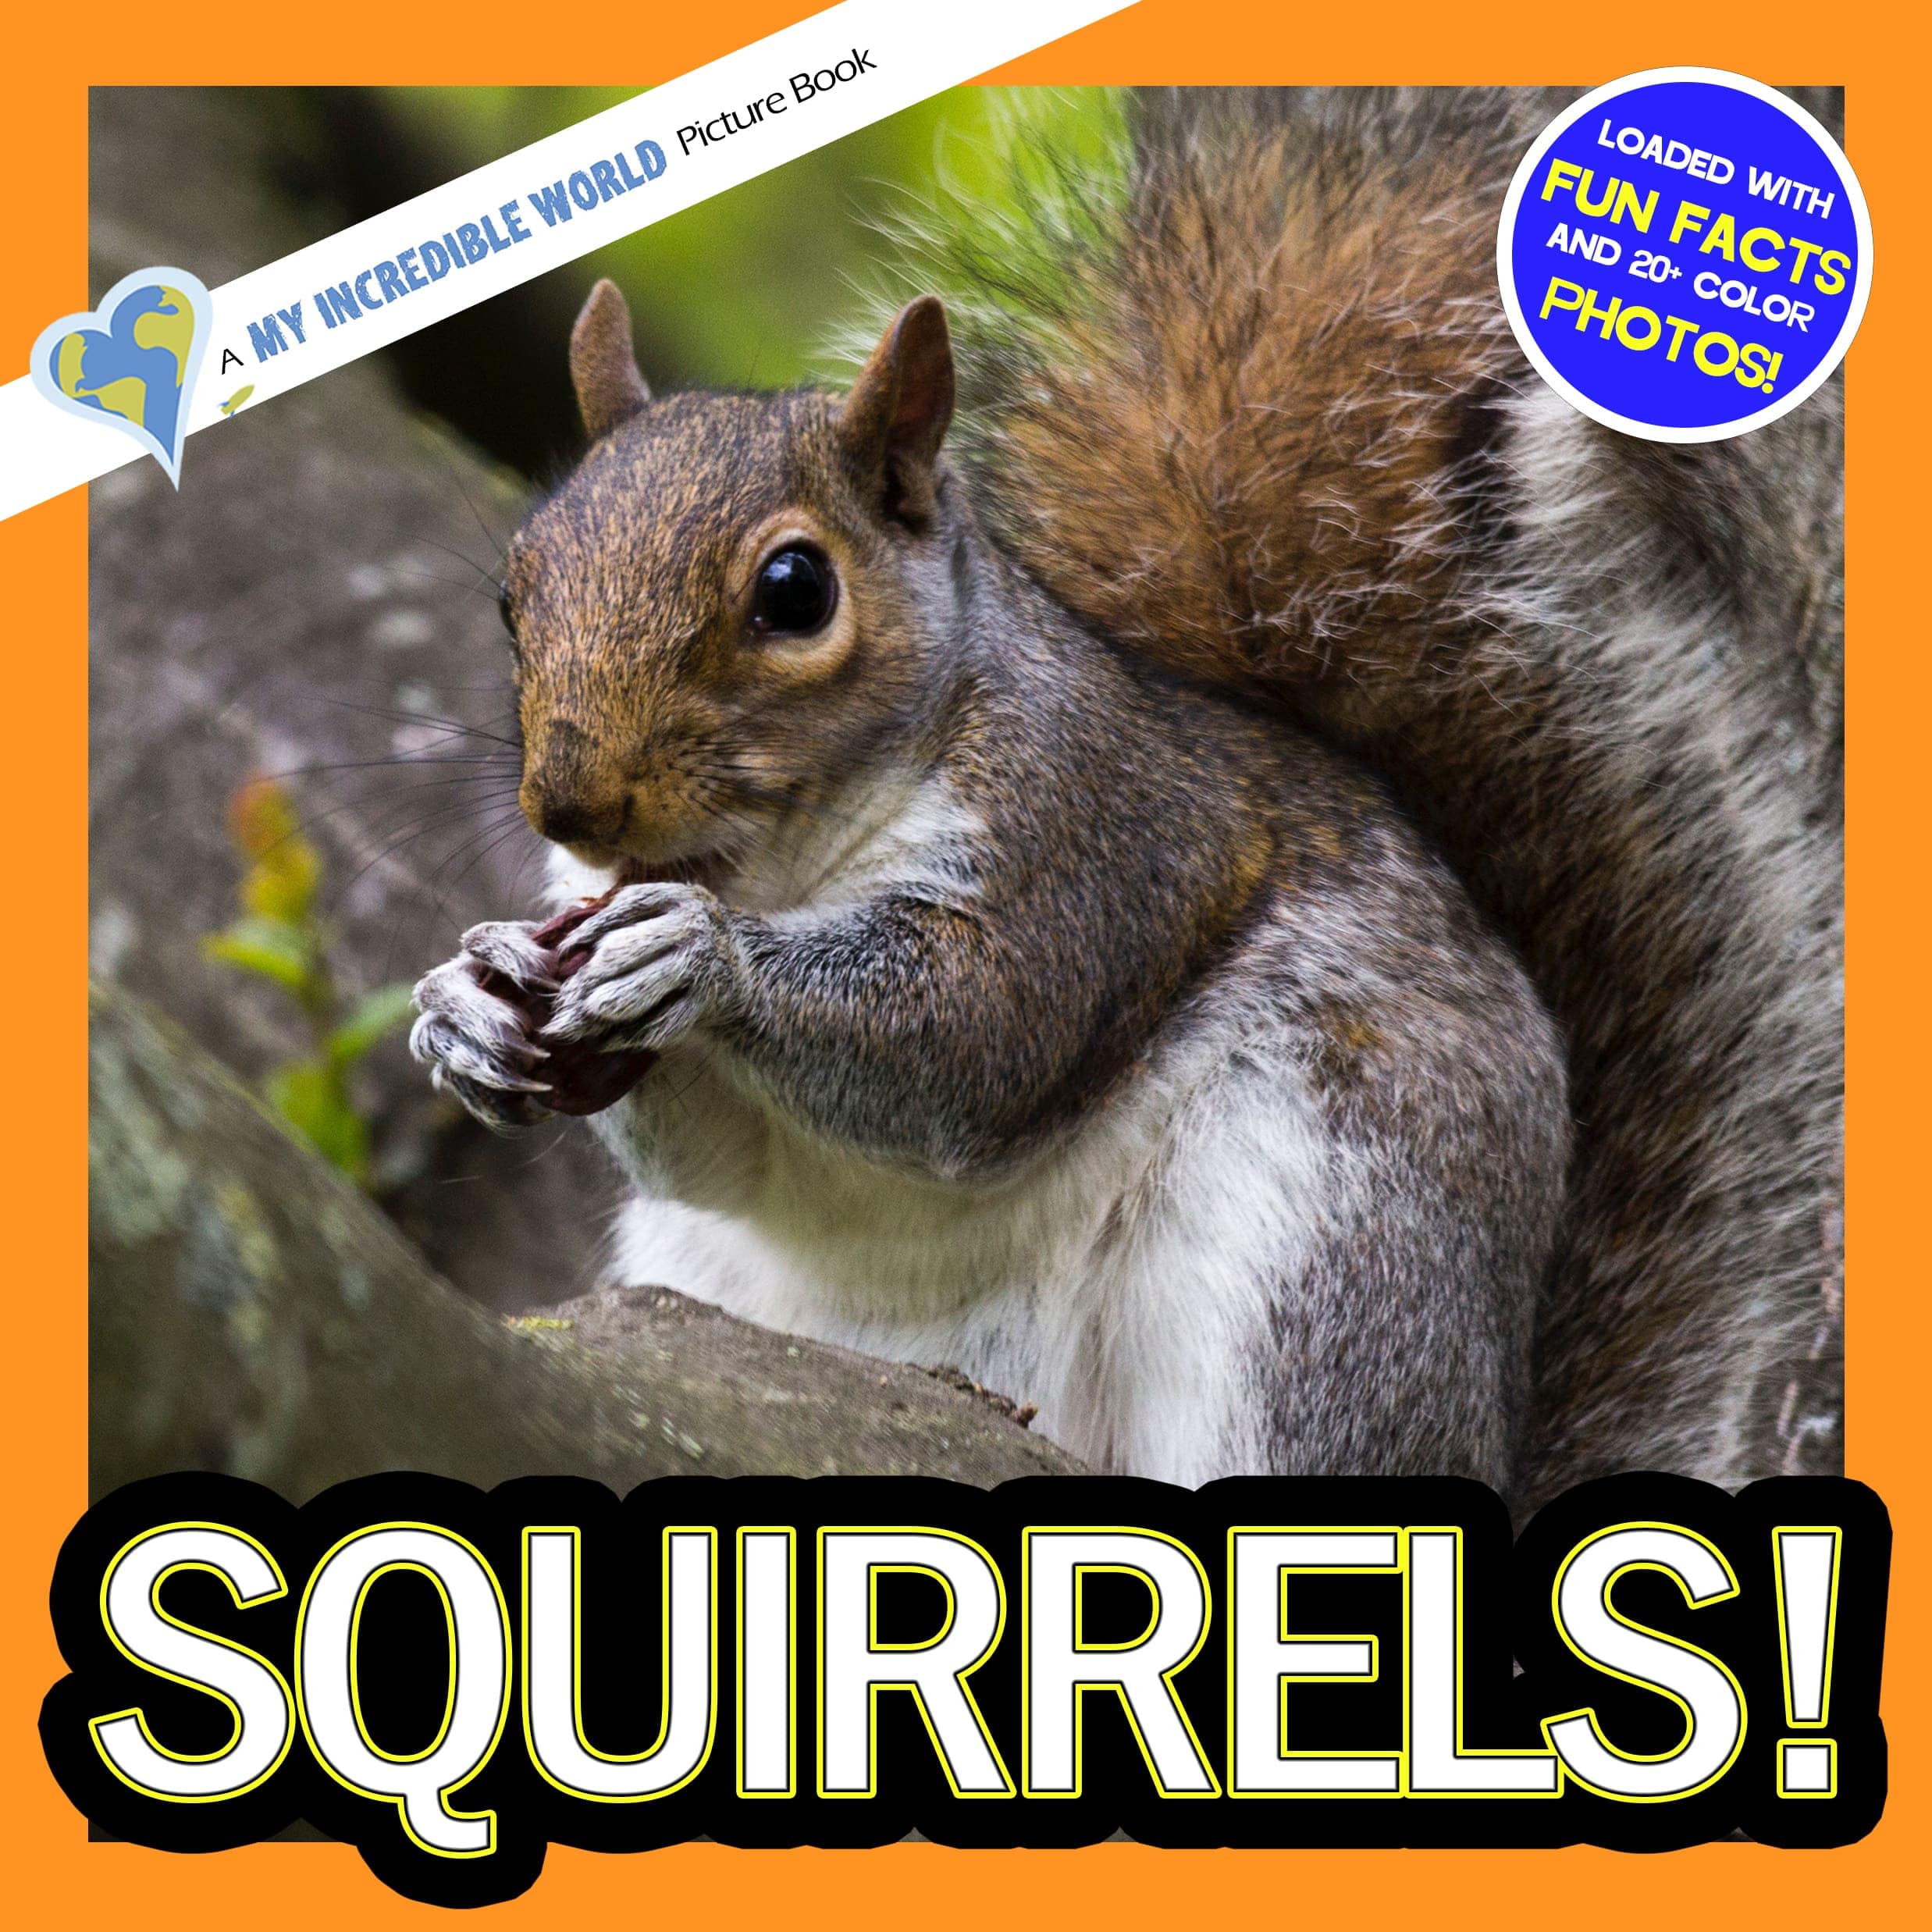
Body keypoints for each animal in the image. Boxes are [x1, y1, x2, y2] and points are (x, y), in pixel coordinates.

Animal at [411, 88, 1842, 1505]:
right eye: (514, 593)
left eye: (795, 591)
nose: (571, 805)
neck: (777, 858)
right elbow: (712, 1157)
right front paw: (466, 1002)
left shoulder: (1091, 833)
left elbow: (975, 1037)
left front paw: (698, 956)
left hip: (1325, 1240)